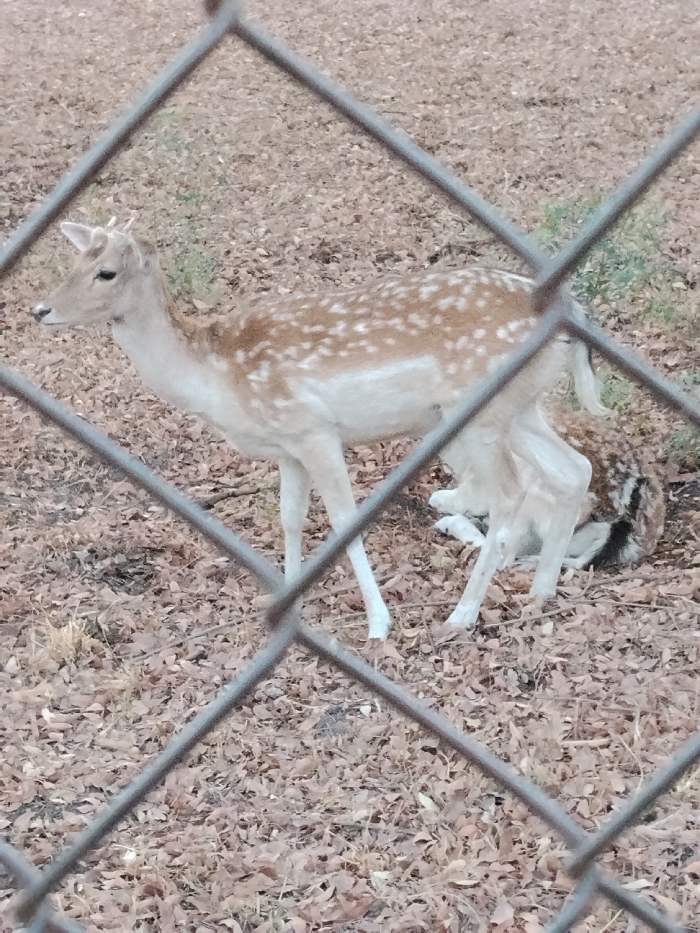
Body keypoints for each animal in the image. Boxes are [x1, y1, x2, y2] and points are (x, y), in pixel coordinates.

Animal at [33, 220, 608, 638]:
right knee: (572, 469)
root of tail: (572, 317)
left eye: (106, 272)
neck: (216, 378)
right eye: (73, 262)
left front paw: (379, 623)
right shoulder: (287, 446)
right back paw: (541, 591)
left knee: (510, 494)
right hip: (522, 407)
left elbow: (342, 521)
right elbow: (290, 519)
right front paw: (290, 599)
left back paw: (462, 615)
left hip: (481, 415)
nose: (40, 308)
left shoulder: (314, 429)